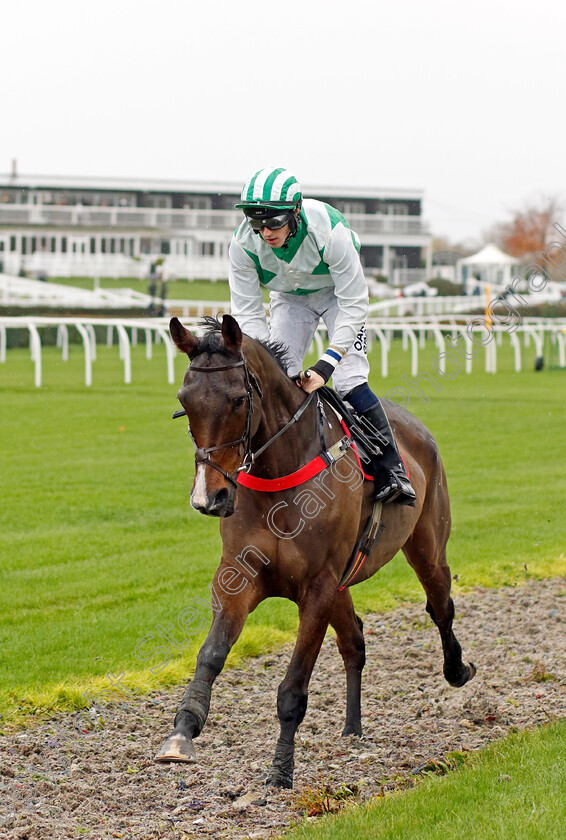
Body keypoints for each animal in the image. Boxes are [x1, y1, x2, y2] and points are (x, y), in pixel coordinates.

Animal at [154, 314, 474, 788]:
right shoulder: (239, 578)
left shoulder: (318, 588)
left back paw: (457, 669)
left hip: (427, 546)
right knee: (355, 640)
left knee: (440, 606)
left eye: (237, 400)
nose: (208, 497)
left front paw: (281, 768)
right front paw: (183, 729)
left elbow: (293, 688)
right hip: (346, 580)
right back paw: (352, 727)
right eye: (184, 401)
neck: (280, 477)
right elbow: (210, 656)